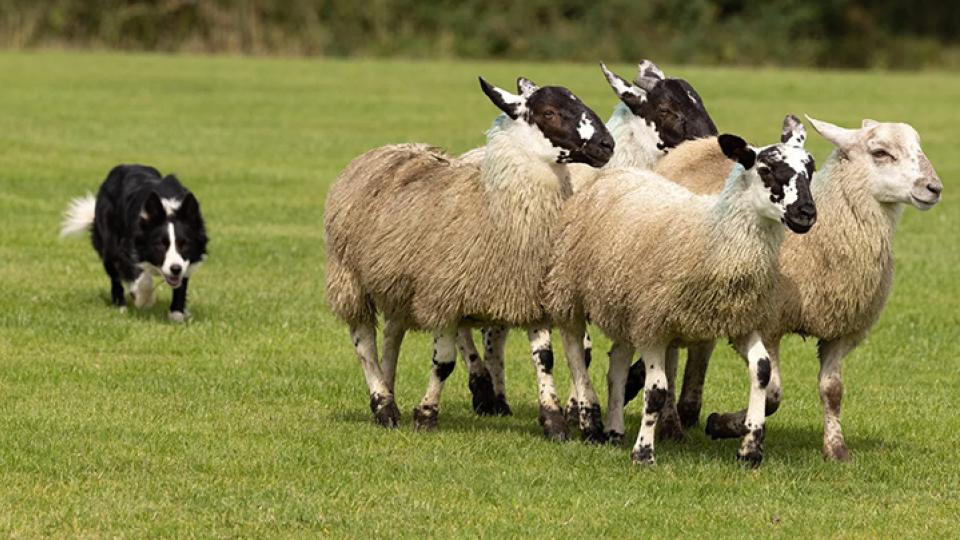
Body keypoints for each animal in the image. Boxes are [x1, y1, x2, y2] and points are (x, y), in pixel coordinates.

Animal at [324, 76, 614, 440]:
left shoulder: (528, 290)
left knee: (391, 336)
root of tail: (384, 149)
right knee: (363, 341)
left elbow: (544, 358)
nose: (607, 145)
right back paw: (383, 405)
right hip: (350, 277)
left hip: (399, 284)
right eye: (549, 112)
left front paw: (554, 421)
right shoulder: (443, 296)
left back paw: (389, 390)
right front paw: (426, 415)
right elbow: (444, 363)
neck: (495, 205)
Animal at [454, 61, 718, 420]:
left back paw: (498, 400)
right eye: (665, 109)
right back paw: (484, 393)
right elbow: (584, 349)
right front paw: (580, 409)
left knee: (494, 333)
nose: (715, 144)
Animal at [546, 115, 818, 464]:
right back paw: (590, 422)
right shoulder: (653, 324)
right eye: (767, 170)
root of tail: (616, 174)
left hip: (623, 305)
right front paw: (644, 453)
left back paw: (614, 431)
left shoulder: (740, 318)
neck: (713, 234)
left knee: (617, 364)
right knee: (575, 352)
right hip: (570, 292)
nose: (806, 214)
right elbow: (657, 392)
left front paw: (751, 449)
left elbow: (762, 370)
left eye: (810, 171)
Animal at [645, 116, 943, 460]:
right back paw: (672, 426)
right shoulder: (768, 323)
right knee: (669, 359)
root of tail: (696, 145)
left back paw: (688, 410)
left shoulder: (841, 330)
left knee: (699, 349)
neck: (828, 233)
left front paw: (836, 449)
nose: (934, 188)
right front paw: (725, 424)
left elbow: (832, 390)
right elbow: (773, 393)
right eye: (880, 152)